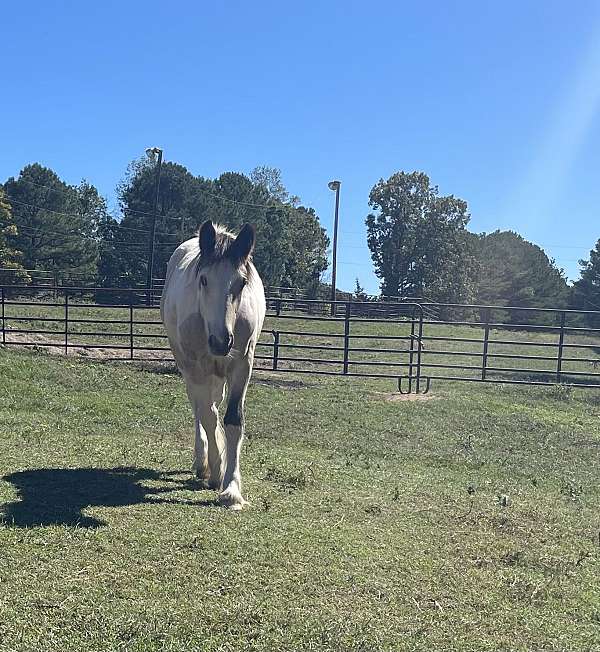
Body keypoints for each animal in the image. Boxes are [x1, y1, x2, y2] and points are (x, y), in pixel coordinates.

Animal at [159, 222, 264, 512]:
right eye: (204, 280)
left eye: (241, 282)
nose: (221, 342)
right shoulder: (196, 368)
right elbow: (206, 416)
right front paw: (216, 471)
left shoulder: (241, 366)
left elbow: (232, 421)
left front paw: (232, 489)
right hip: (189, 368)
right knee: (199, 409)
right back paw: (202, 462)